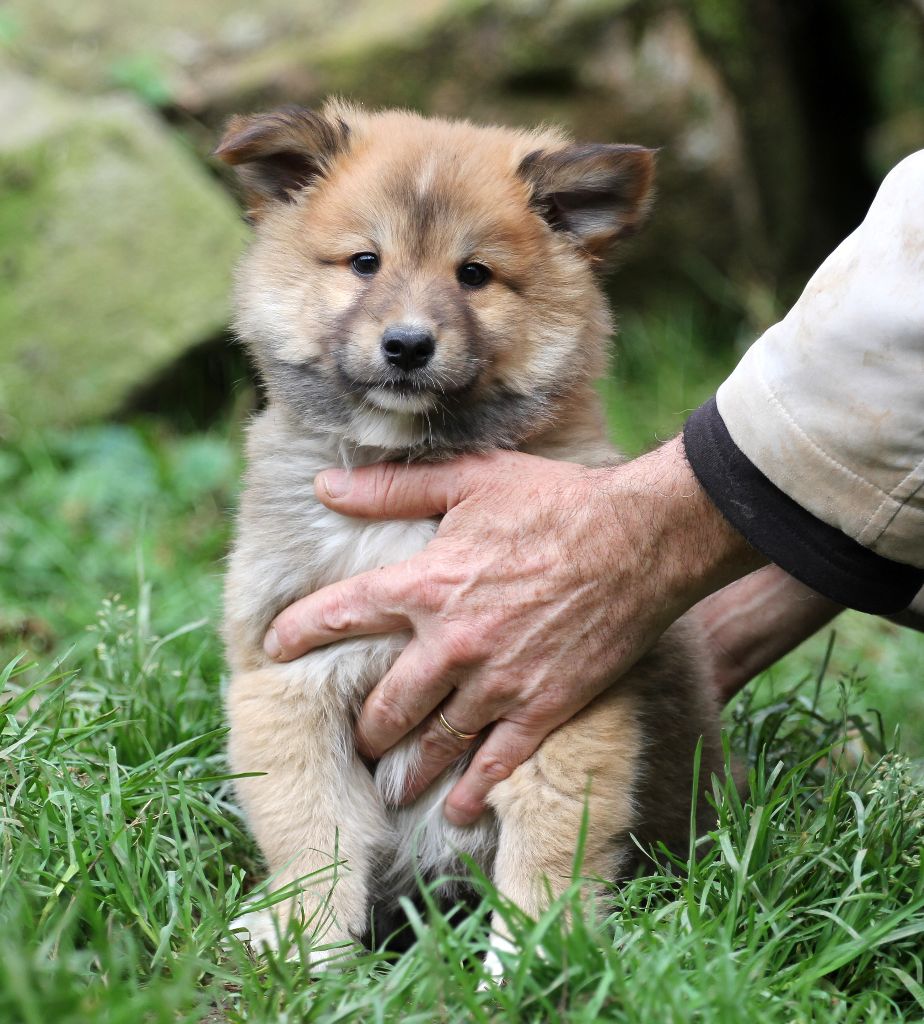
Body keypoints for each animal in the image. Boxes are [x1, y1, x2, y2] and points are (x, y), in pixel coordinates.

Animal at [217, 99, 725, 962]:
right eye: (364, 262)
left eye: (474, 275)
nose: (407, 345)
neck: (409, 470)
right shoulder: (289, 672)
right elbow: (313, 831)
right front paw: (305, 945)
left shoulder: (553, 697)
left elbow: (547, 850)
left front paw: (532, 963)